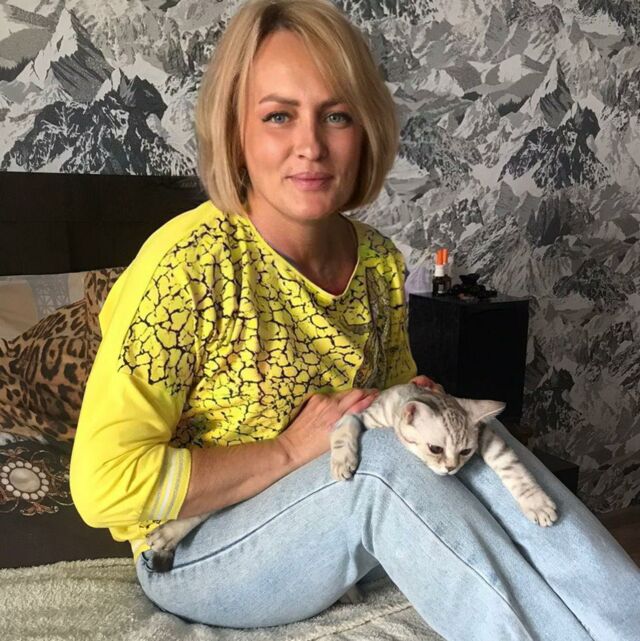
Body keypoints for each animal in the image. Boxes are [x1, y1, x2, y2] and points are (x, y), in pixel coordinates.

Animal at [146, 382, 557, 574]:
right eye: (435, 449)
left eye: (466, 451)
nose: (452, 469)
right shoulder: (358, 415)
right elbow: (344, 431)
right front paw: (343, 461)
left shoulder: (490, 439)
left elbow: (513, 468)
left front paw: (537, 504)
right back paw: (166, 535)